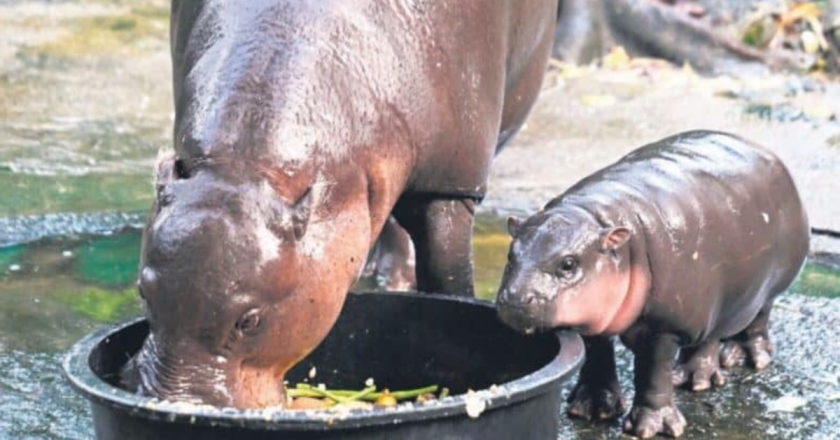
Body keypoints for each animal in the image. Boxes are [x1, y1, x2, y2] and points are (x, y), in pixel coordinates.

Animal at [120, 0, 556, 410]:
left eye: (249, 320)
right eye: (143, 292)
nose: (176, 399)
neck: (244, 170)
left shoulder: (450, 186)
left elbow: (448, 276)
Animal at [498, 131, 808, 436]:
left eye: (568, 264)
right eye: (510, 255)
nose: (514, 298)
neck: (597, 217)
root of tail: (762, 149)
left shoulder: (663, 327)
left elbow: (653, 373)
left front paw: (650, 428)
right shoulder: (594, 314)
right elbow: (597, 354)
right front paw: (592, 409)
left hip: (768, 287)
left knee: (758, 317)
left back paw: (742, 358)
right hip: (716, 294)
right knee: (710, 334)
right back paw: (696, 379)